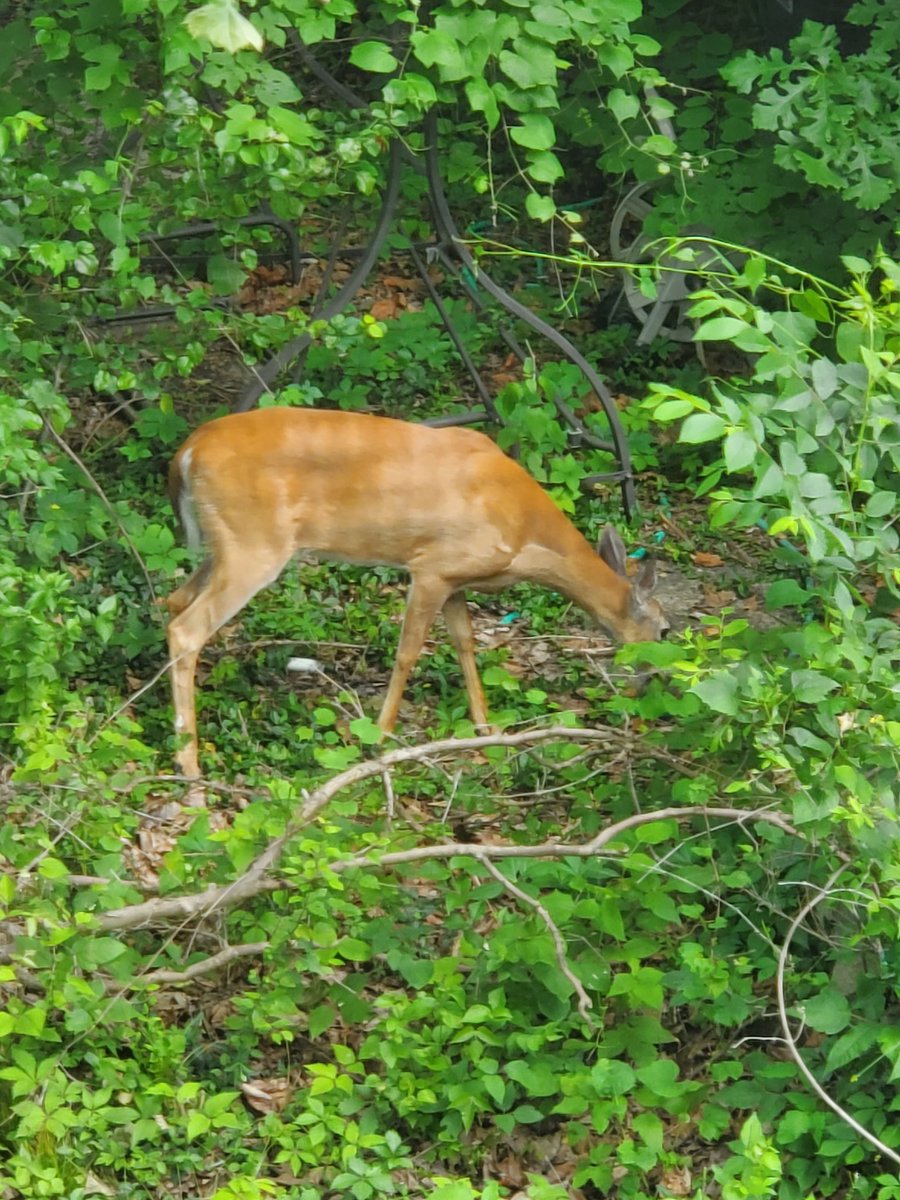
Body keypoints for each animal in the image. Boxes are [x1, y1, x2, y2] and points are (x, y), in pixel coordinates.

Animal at [164, 407, 669, 776]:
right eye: (665, 630)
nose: (651, 686)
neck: (524, 532)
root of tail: (187, 451)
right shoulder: (431, 567)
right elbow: (408, 652)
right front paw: (382, 737)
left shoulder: (455, 577)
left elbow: (465, 642)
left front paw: (486, 729)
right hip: (254, 543)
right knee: (187, 628)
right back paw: (189, 764)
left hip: (225, 545)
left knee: (173, 601)